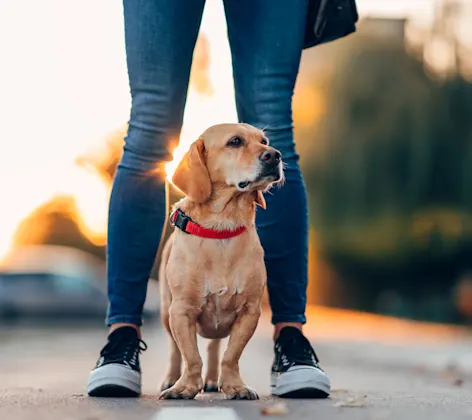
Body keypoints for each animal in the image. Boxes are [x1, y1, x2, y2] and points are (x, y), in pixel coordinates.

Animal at [159, 122, 284, 400]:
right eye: (235, 142)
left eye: (264, 140)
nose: (275, 155)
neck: (222, 228)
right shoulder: (181, 311)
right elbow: (191, 356)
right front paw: (185, 387)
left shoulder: (249, 311)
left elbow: (231, 355)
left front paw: (234, 386)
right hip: (166, 312)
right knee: (174, 349)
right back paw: (171, 378)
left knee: (214, 347)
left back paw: (212, 380)